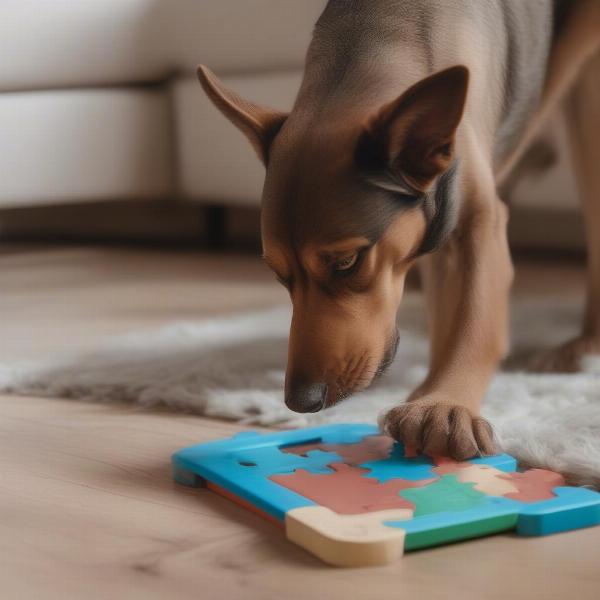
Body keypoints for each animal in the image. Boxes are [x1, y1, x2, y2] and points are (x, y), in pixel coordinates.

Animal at [198, 1, 600, 460]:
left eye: (347, 262)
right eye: (279, 275)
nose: (301, 402)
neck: (379, 33)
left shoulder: (476, 223)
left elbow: (474, 321)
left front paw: (445, 403)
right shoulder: (442, 230)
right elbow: (448, 315)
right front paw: (427, 393)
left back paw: (586, 345)